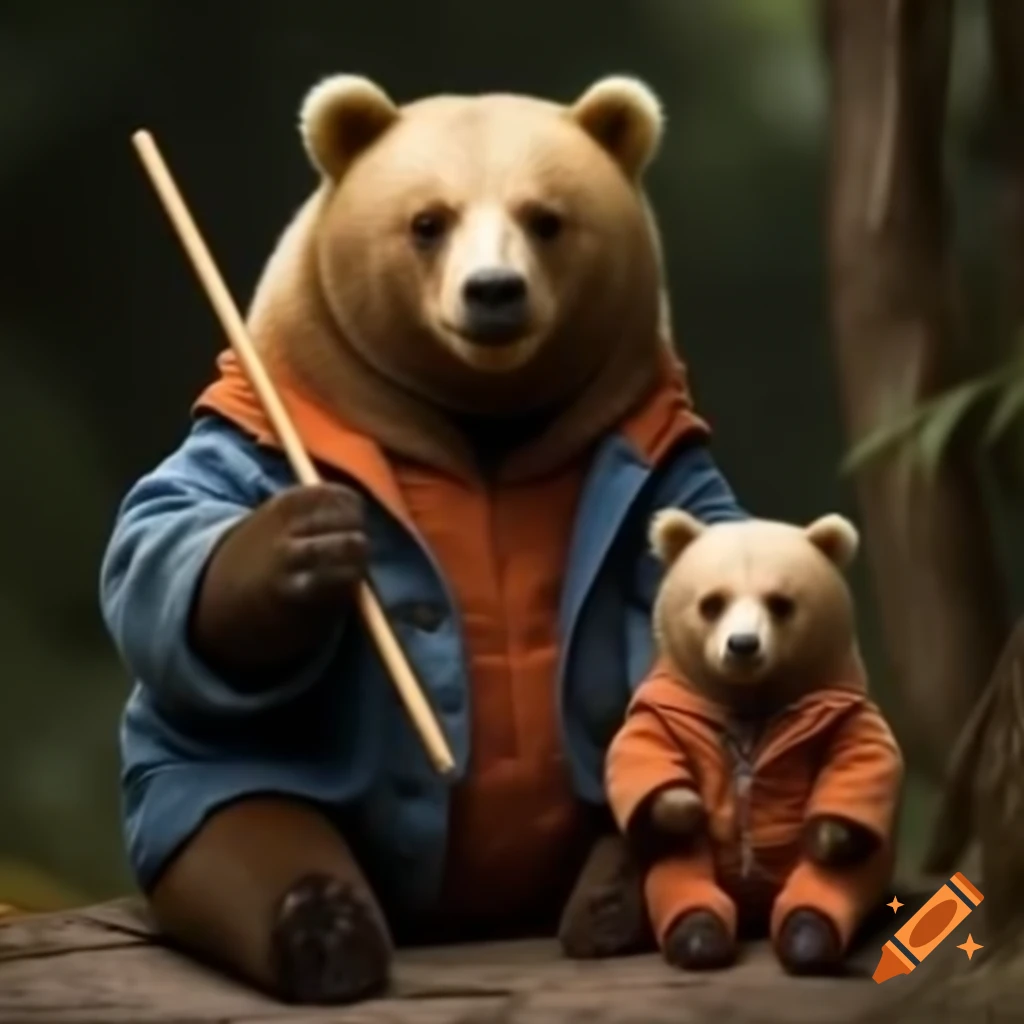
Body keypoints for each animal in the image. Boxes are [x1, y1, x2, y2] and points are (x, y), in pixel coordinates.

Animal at [100, 74, 749, 1005]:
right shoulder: (259, 426)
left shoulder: (657, 465)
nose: (493, 290)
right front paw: (304, 543)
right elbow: (162, 538)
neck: (480, 422)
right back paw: (325, 933)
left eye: (546, 219)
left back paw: (620, 886)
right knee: (241, 831)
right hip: (222, 781)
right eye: (427, 222)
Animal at [606, 510, 904, 975]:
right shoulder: (670, 700)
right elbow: (640, 751)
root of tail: (755, 911)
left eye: (780, 603)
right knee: (678, 874)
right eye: (712, 603)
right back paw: (698, 934)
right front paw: (681, 806)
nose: (743, 645)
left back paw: (808, 935)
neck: (748, 698)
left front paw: (829, 834)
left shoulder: (841, 700)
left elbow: (864, 756)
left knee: (840, 881)